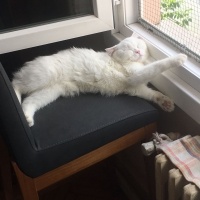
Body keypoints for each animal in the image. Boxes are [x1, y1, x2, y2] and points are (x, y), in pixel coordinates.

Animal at [12, 36, 188, 126]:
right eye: (128, 49)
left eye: (138, 44)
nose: (137, 51)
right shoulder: (136, 75)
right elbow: (158, 65)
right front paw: (179, 58)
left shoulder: (137, 88)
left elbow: (153, 94)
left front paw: (166, 103)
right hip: (42, 76)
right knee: (16, 83)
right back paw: (14, 96)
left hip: (49, 92)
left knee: (29, 102)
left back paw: (27, 118)